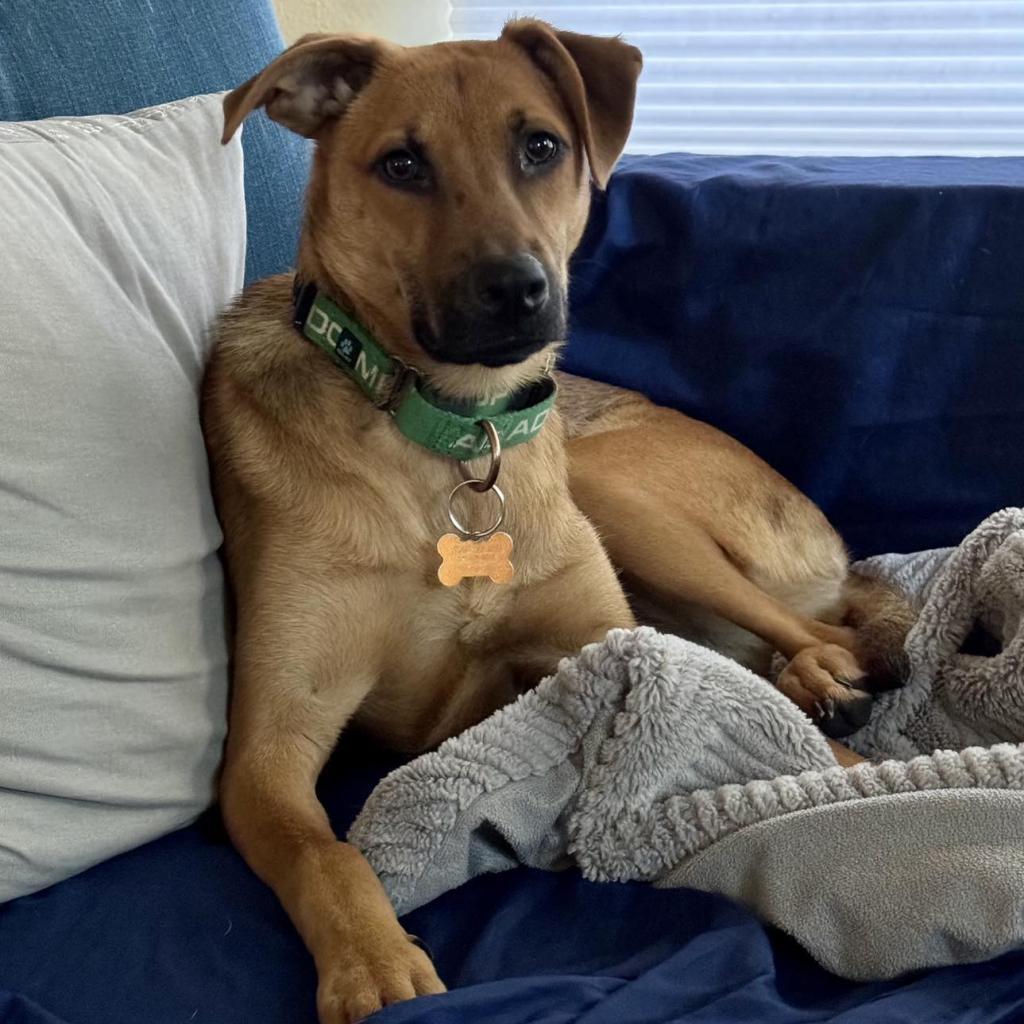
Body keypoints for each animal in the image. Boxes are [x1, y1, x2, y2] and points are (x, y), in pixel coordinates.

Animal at [201, 18, 913, 1024]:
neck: (453, 440)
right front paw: (371, 962)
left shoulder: (605, 638)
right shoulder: (267, 752)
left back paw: (823, 670)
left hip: (617, 494)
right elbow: (325, 854)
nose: (516, 289)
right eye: (401, 164)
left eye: (540, 147)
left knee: (815, 628)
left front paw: (886, 781)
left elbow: (799, 747)